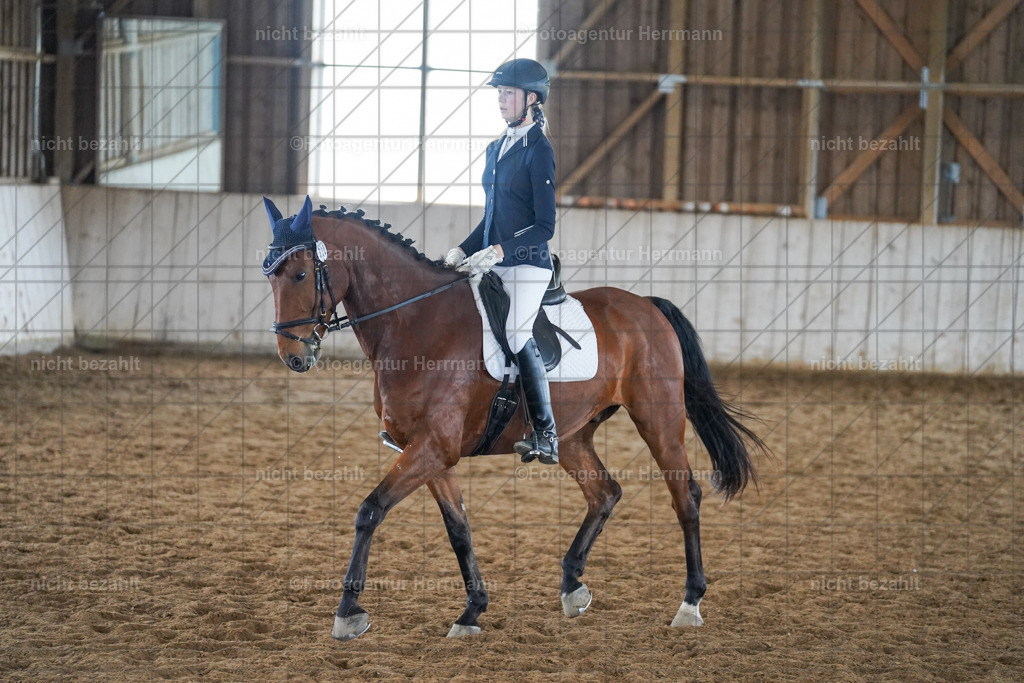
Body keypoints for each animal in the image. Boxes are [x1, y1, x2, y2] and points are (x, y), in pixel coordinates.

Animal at [261, 196, 769, 639]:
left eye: (301, 273)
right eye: (271, 278)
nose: (293, 356)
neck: (417, 324)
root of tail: (645, 304)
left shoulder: (433, 447)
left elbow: (370, 510)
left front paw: (348, 612)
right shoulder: (431, 452)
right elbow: (459, 529)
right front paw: (472, 611)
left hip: (658, 422)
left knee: (686, 497)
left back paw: (689, 603)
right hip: (575, 434)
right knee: (605, 492)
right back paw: (572, 587)